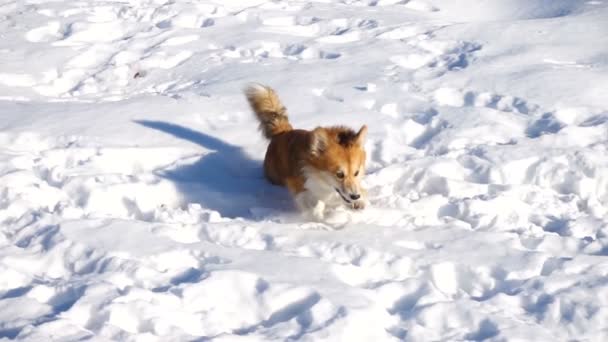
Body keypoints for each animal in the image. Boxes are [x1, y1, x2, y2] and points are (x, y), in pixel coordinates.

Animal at [245, 83, 368, 219]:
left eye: (356, 173)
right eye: (339, 174)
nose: (355, 196)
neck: (319, 178)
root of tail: (282, 132)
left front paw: (358, 202)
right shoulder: (298, 185)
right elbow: (312, 203)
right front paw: (322, 214)